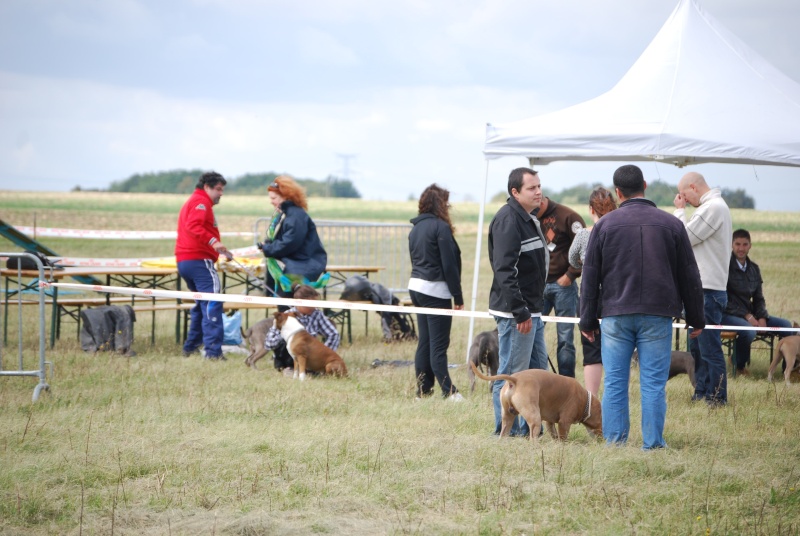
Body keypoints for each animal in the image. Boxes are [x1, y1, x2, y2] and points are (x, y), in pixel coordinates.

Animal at [468, 362, 600, 442]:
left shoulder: (550, 422)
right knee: (533, 435)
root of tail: (515, 380)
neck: (585, 401)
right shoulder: (564, 422)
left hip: (507, 417)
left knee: (504, 431)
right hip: (534, 417)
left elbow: (554, 434)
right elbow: (563, 438)